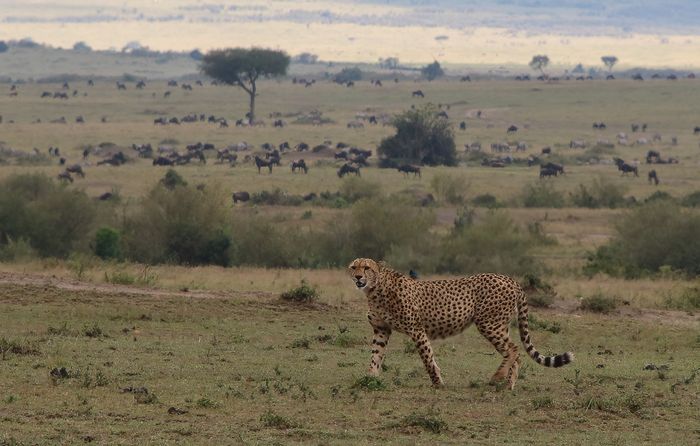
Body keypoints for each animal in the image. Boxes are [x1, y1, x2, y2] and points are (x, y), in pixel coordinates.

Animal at [350, 258, 576, 390]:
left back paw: (497, 377)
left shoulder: (416, 330)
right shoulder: (381, 329)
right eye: (353, 267)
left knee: (513, 350)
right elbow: (376, 355)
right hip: (499, 325)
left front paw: (437, 382)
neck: (375, 288)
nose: (358, 277)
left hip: (489, 323)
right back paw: (508, 384)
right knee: (514, 353)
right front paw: (370, 377)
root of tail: (510, 279)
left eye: (367, 267)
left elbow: (427, 358)